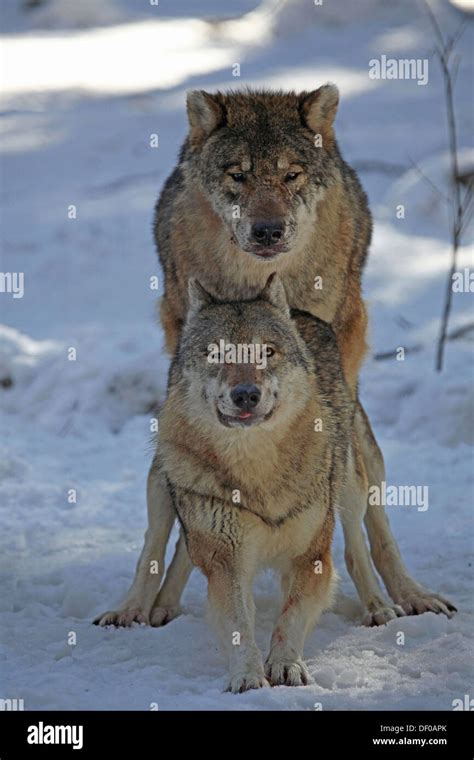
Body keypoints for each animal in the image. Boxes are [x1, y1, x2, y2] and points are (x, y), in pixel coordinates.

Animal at [95, 86, 455, 631]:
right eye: (238, 175)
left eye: (291, 175)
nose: (267, 230)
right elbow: (181, 538)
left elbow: (346, 539)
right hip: (167, 466)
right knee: (167, 537)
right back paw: (144, 606)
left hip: (360, 443)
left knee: (369, 527)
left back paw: (402, 599)